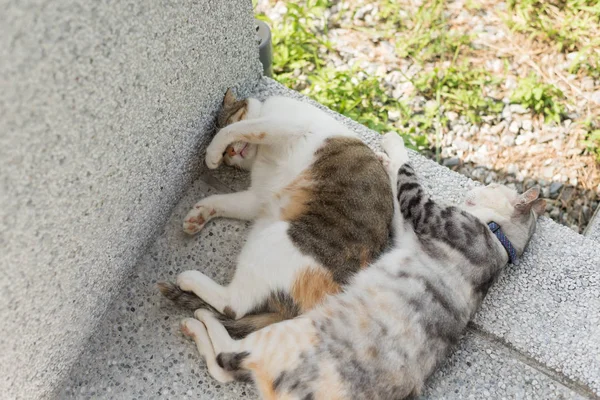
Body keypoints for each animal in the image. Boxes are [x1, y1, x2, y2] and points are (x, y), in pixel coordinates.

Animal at [157, 91, 396, 340]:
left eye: (231, 118)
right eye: (227, 159)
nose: (229, 153)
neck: (263, 153)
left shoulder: (282, 124)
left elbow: (236, 129)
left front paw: (210, 153)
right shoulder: (258, 197)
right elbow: (222, 201)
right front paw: (197, 215)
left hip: (277, 236)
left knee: (234, 306)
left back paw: (189, 278)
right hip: (264, 231)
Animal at [176, 131, 548, 396]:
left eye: (493, 184)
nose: (480, 185)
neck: (499, 241)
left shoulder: (425, 211)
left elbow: (406, 171)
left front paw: (393, 144)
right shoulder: (402, 230)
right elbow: (395, 192)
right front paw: (383, 158)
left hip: (281, 327)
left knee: (232, 325)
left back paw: (197, 308)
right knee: (224, 367)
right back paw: (197, 325)